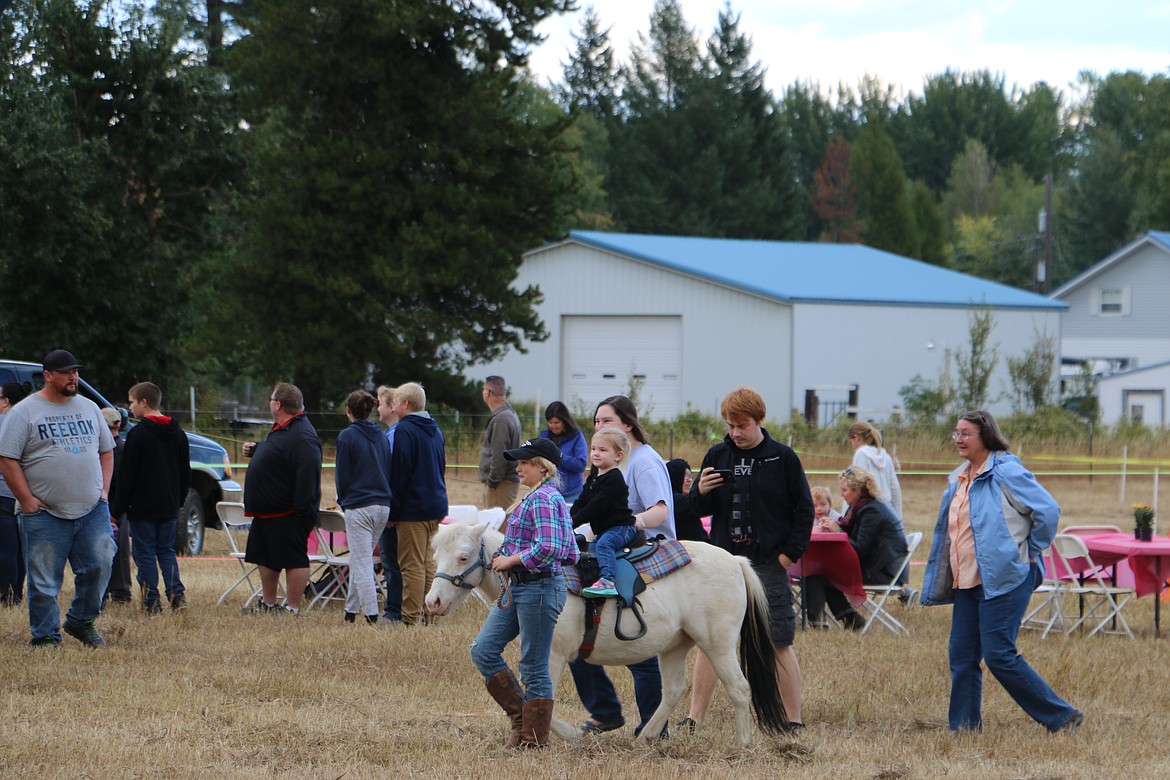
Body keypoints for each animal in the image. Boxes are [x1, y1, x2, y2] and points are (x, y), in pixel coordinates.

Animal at [425, 519, 790, 743]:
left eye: (463, 557)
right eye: (437, 555)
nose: (433, 601)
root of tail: (735, 561)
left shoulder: (551, 653)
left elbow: (539, 694)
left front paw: (564, 733)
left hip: (718, 644)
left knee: (739, 689)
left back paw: (742, 743)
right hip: (675, 645)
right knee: (673, 690)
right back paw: (647, 737)